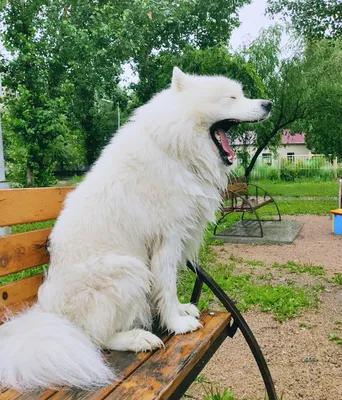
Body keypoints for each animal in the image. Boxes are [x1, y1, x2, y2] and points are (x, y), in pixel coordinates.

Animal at [0, 68, 272, 390]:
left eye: (242, 94)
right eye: (231, 98)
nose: (268, 103)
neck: (175, 149)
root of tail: (50, 315)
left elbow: (170, 289)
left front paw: (182, 309)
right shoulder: (167, 240)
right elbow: (166, 286)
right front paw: (177, 324)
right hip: (129, 270)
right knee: (95, 339)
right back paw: (138, 338)